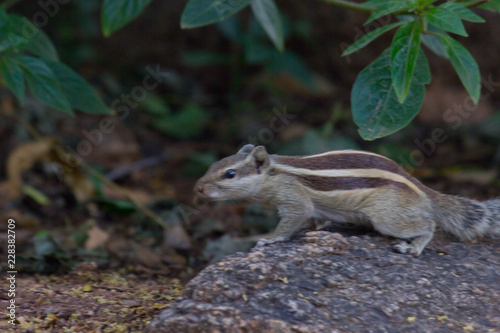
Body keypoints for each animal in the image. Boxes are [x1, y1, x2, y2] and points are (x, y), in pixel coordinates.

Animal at [193, 144, 498, 255]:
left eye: (230, 174)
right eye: (214, 164)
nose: (198, 188)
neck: (274, 173)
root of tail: (422, 190)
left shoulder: (293, 198)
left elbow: (294, 217)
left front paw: (270, 239)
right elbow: (311, 220)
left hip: (387, 217)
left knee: (428, 225)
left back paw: (413, 247)